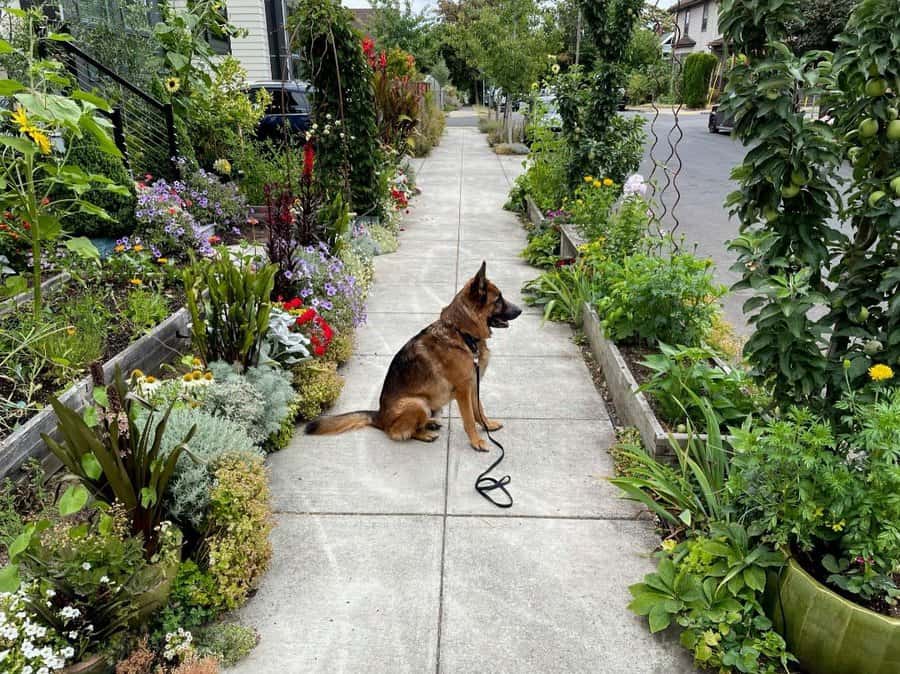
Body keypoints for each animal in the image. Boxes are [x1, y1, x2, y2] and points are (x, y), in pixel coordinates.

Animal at [308, 260, 524, 448]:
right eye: (498, 299)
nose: (521, 310)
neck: (462, 332)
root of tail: (380, 416)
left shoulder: (473, 384)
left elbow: (479, 409)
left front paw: (487, 425)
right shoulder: (464, 389)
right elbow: (469, 418)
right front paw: (477, 442)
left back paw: (430, 423)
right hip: (417, 403)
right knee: (396, 432)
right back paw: (424, 433)